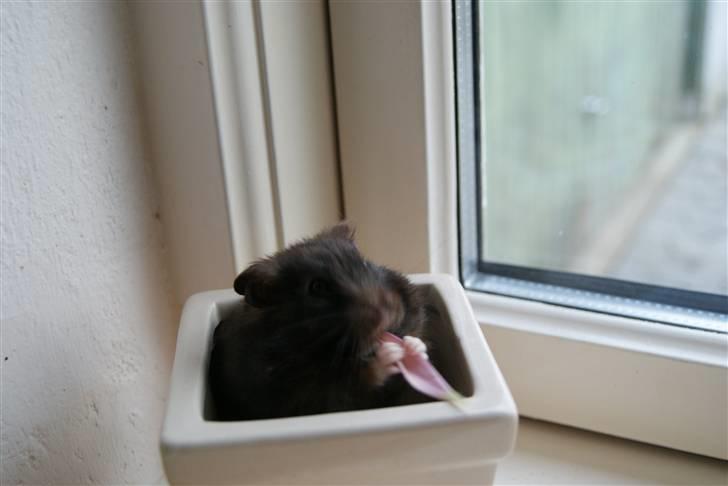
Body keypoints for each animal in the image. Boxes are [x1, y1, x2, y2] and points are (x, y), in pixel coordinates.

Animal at [207, 223, 430, 421]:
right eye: (317, 287)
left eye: (365, 264)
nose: (389, 315)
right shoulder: (309, 396)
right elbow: (358, 380)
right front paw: (389, 354)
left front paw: (413, 346)